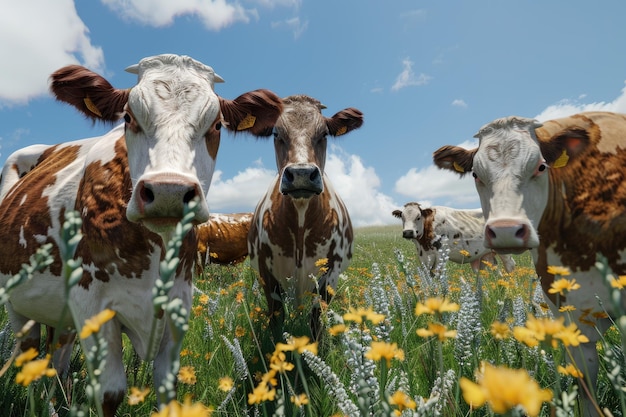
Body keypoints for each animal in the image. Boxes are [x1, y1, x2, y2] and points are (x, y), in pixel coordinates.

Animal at [0, 55, 280, 416]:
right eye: (128, 118)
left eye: (217, 125)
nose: (168, 191)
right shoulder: (93, 307)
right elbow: (110, 393)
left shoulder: (177, 307)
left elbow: (167, 388)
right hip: (17, 303)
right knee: (30, 354)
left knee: (58, 358)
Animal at [245, 95, 360, 338]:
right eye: (276, 133)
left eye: (324, 134)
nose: (301, 174)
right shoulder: (266, 272)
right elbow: (276, 317)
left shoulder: (331, 273)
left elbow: (317, 320)